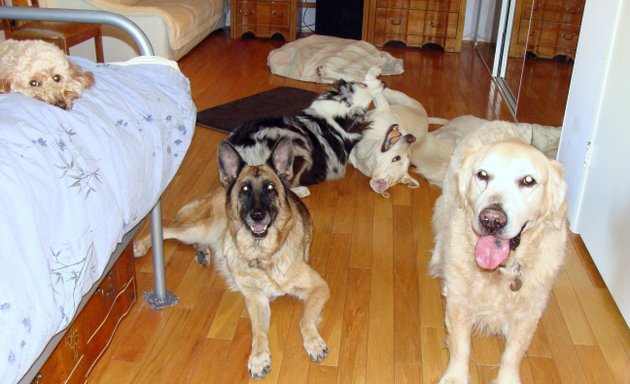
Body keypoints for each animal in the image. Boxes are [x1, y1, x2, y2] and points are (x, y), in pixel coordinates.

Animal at [133, 138, 330, 378]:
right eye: (245, 189)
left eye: (270, 188)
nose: (257, 215)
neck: (263, 255)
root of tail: (219, 189)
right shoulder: (256, 299)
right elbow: (258, 332)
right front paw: (259, 357)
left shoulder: (319, 287)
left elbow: (305, 319)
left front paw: (313, 342)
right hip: (203, 229)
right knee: (166, 230)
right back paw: (141, 245)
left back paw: (202, 252)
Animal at [432, 121, 572, 382]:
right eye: (483, 175)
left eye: (528, 180)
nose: (491, 220)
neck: (501, 269)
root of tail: (495, 122)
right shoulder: (458, 302)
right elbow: (460, 346)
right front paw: (456, 376)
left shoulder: (528, 314)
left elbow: (512, 355)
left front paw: (507, 378)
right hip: (448, 199)